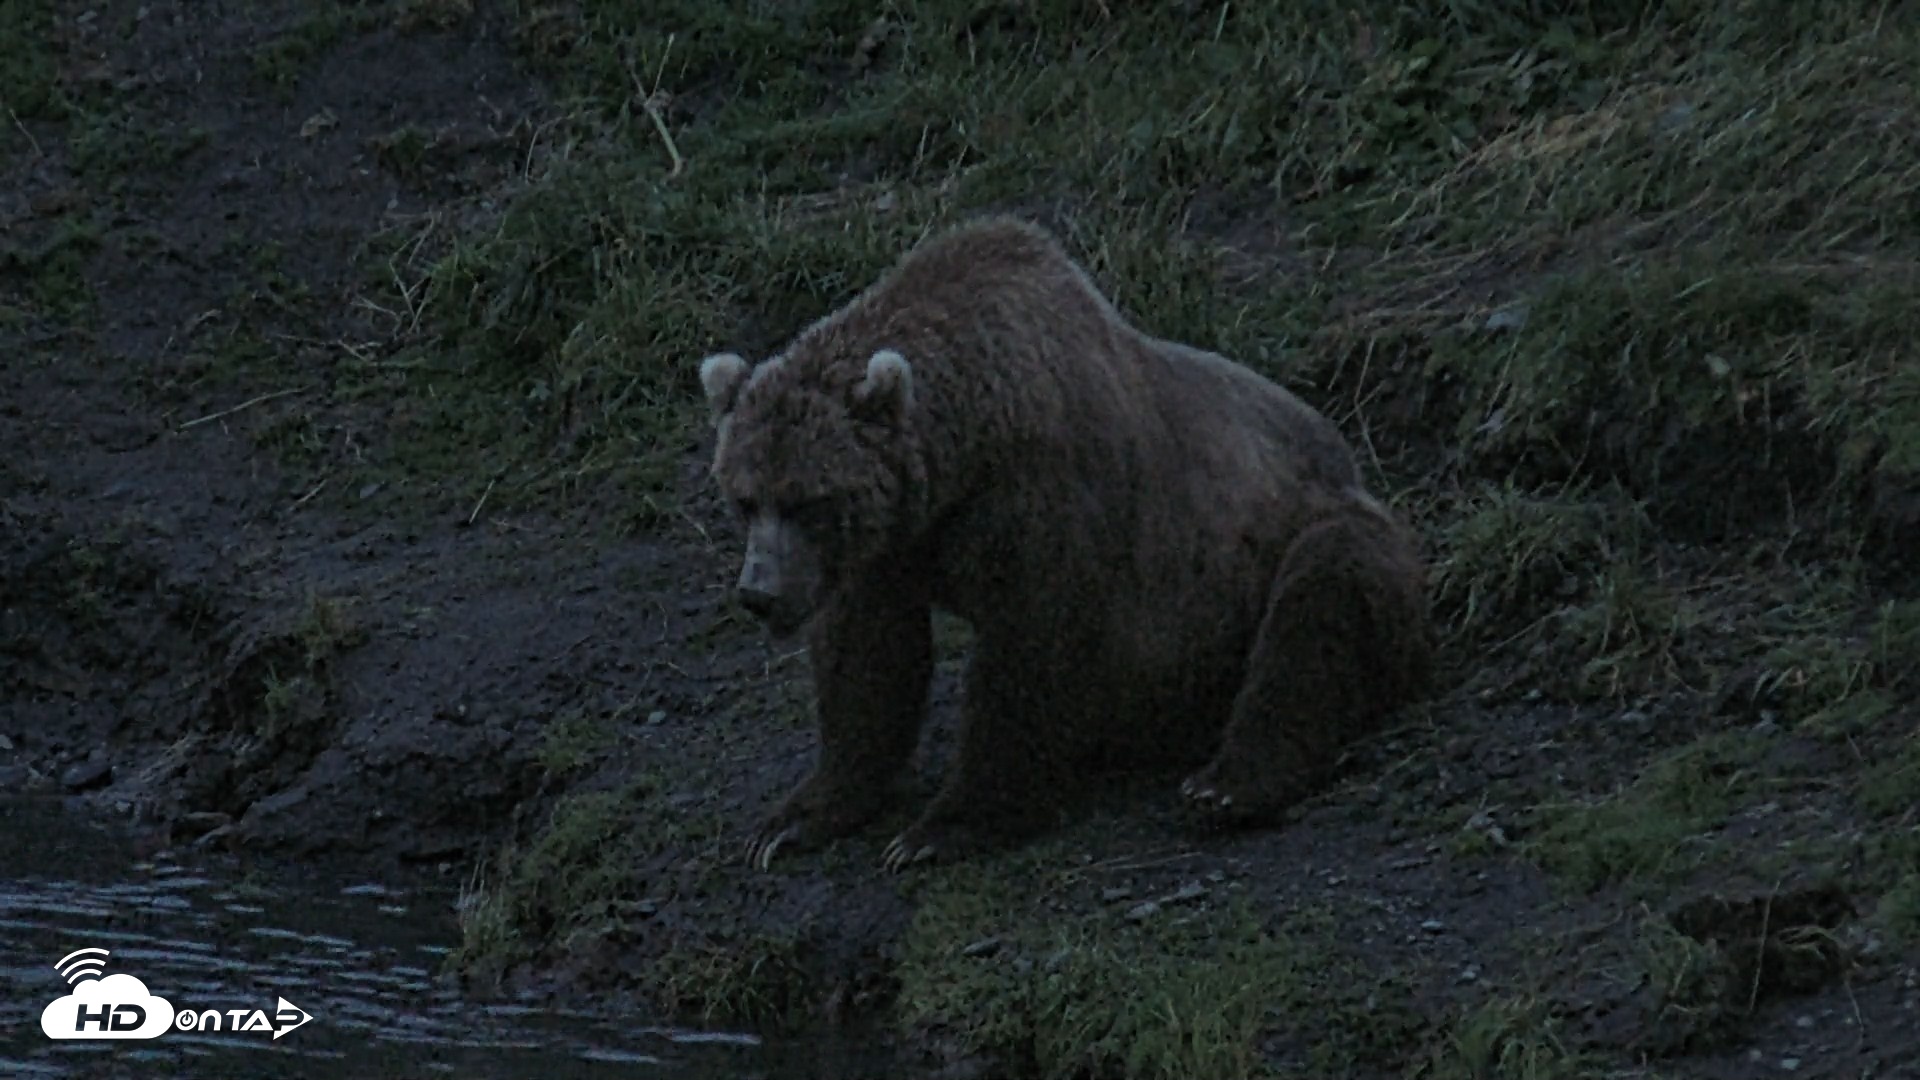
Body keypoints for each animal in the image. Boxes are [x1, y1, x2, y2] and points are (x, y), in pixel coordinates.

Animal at [697, 215, 1432, 873]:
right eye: (744, 496)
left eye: (807, 500)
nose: (760, 593)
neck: (963, 455)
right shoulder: (888, 546)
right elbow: (868, 658)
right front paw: (796, 818)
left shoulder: (1047, 507)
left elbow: (1030, 654)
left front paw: (943, 828)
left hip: (1304, 533)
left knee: (1316, 610)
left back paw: (1226, 784)